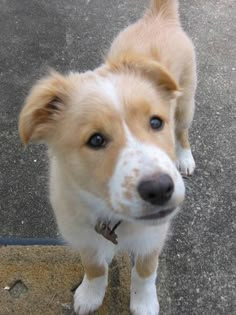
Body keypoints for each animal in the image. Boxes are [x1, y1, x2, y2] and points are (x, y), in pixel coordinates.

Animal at [18, 0, 196, 315]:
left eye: (156, 122)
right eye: (96, 140)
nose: (160, 189)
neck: (113, 216)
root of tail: (158, 17)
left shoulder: (153, 236)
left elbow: (145, 271)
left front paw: (144, 302)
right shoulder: (81, 232)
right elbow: (94, 267)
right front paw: (90, 295)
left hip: (186, 102)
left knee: (183, 130)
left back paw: (184, 157)